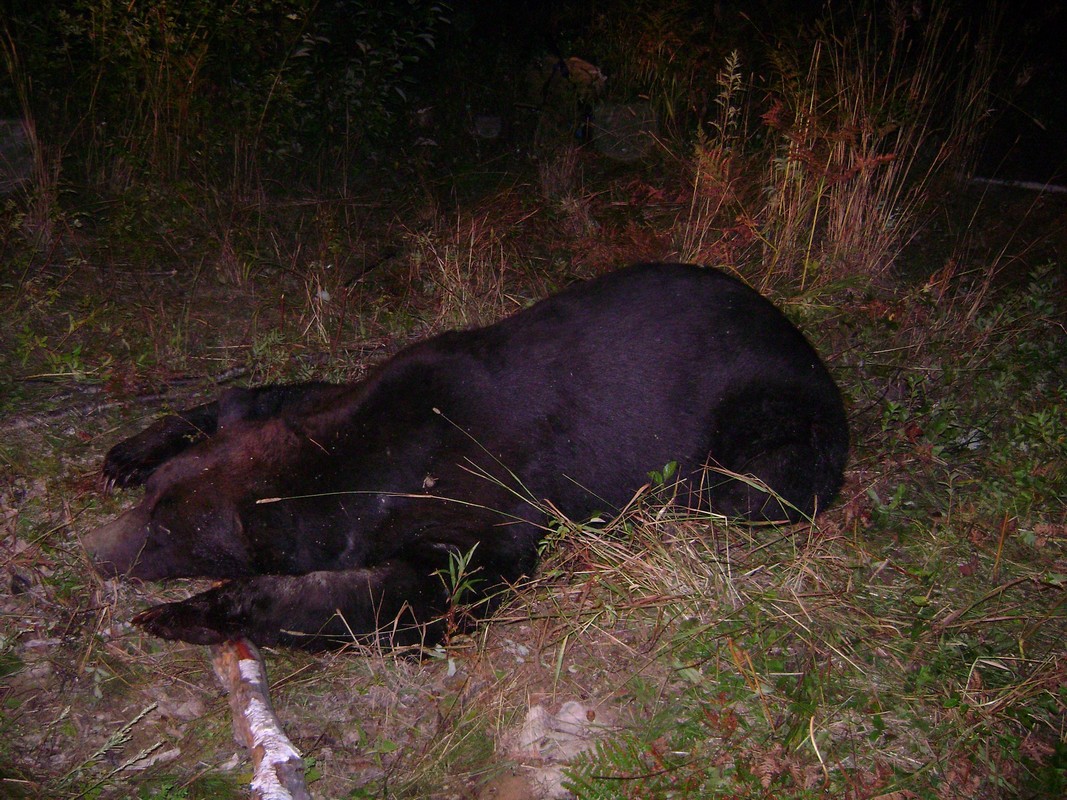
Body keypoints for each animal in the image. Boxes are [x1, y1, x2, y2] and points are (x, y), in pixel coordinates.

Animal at [83, 263, 849, 652]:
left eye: (167, 534)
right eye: (151, 500)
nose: (95, 552)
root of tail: (805, 343)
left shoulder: (484, 498)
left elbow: (422, 593)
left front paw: (190, 612)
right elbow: (261, 395)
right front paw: (132, 450)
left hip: (777, 422)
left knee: (757, 486)